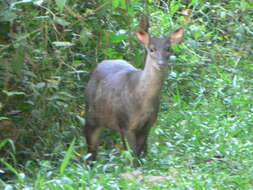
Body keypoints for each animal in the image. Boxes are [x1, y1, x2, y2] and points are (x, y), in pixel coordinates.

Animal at [84, 27, 184, 163]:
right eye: (151, 49)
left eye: (168, 48)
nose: (161, 63)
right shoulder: (126, 123)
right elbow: (134, 156)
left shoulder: (147, 125)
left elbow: (139, 155)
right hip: (91, 115)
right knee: (91, 150)